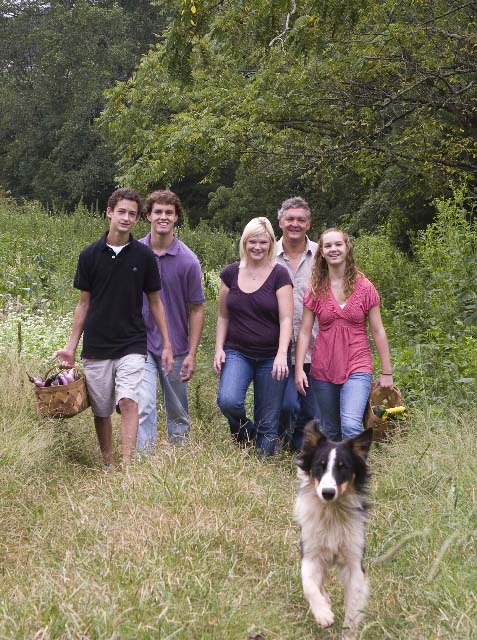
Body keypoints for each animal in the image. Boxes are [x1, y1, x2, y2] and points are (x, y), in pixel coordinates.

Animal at [294, 420, 372, 640]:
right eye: (319, 466)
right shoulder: (310, 553)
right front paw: (323, 615)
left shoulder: (354, 561)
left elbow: (353, 605)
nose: (327, 492)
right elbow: (308, 585)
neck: (331, 512)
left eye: (342, 467)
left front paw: (348, 632)